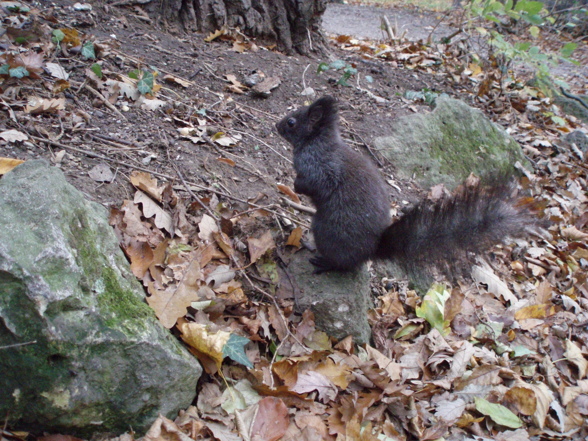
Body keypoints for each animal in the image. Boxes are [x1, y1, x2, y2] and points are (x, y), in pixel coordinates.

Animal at [274, 96, 536, 276]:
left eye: (292, 122)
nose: (276, 126)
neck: (315, 142)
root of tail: (370, 251)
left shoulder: (322, 168)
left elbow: (315, 185)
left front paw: (297, 186)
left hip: (327, 230)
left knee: (343, 265)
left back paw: (323, 260)